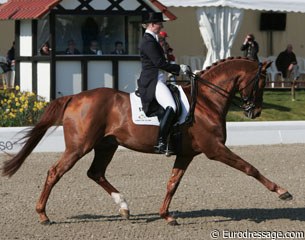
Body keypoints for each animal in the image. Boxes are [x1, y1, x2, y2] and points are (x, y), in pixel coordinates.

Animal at [1, 56, 290, 225]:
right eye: (261, 82)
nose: (255, 112)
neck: (207, 100)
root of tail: (75, 97)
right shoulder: (215, 149)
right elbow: (249, 168)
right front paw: (282, 192)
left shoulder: (186, 154)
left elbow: (172, 183)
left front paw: (167, 215)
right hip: (79, 146)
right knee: (55, 172)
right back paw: (43, 215)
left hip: (106, 145)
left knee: (95, 173)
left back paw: (124, 207)